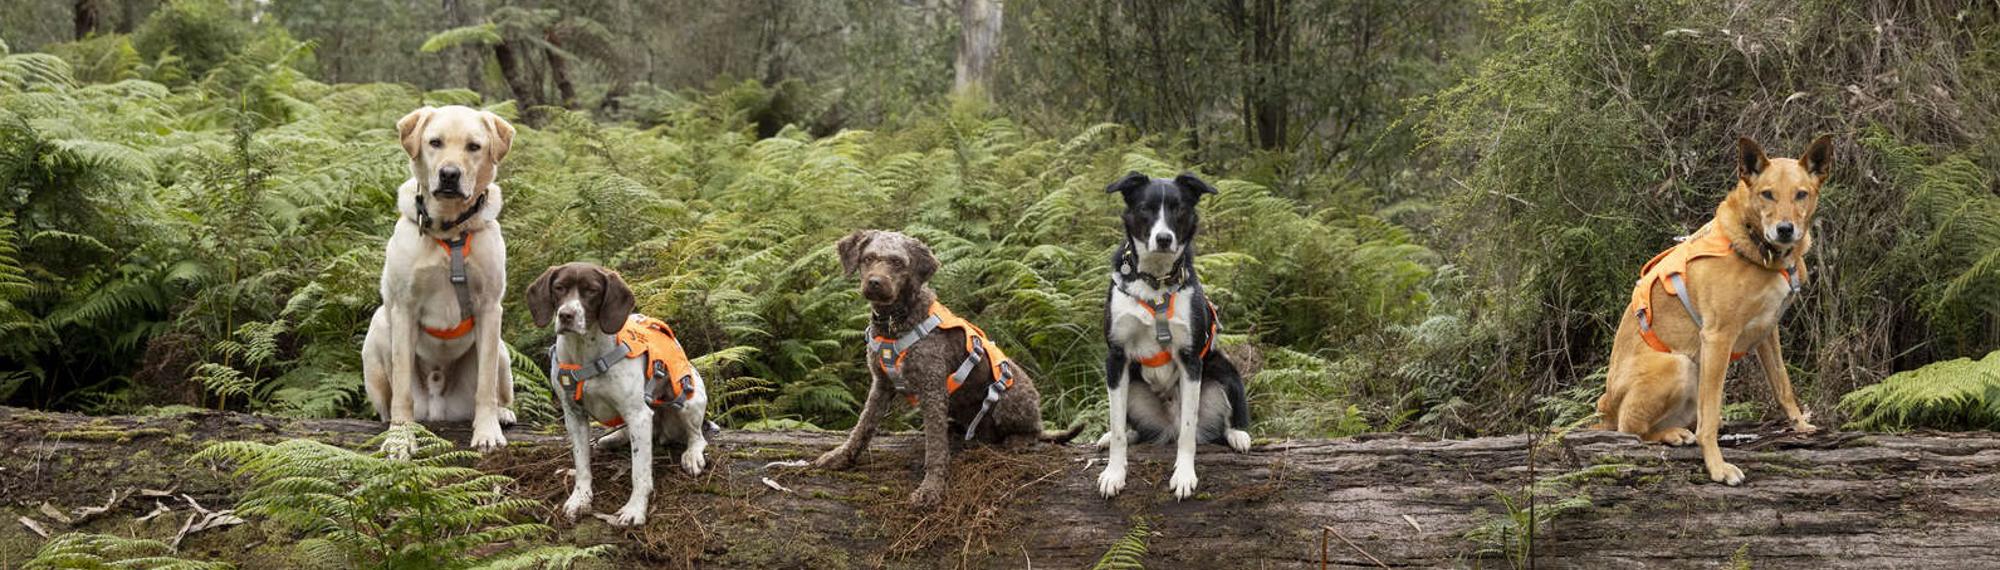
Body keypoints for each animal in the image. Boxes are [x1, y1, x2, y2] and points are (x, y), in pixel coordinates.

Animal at [364, 103, 516, 458]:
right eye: (435, 142)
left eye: (474, 146)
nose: (449, 174)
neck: (450, 230)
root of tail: (437, 407)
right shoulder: (403, 308)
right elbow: (402, 388)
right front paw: (400, 437)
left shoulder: (490, 308)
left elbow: (486, 385)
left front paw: (487, 431)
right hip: (376, 333)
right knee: (388, 401)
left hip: (503, 350)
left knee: (498, 387)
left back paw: (503, 413)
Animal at [1096, 172, 1248, 496]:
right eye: (1145, 208)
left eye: (1178, 209)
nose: (1164, 239)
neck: (1155, 282)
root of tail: (1168, 424)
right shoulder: (1116, 358)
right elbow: (1117, 428)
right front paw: (1114, 473)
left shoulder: (1191, 360)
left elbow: (1188, 434)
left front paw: (1184, 475)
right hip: (1132, 386)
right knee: (1130, 429)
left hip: (1223, 370)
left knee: (1220, 420)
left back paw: (1238, 434)